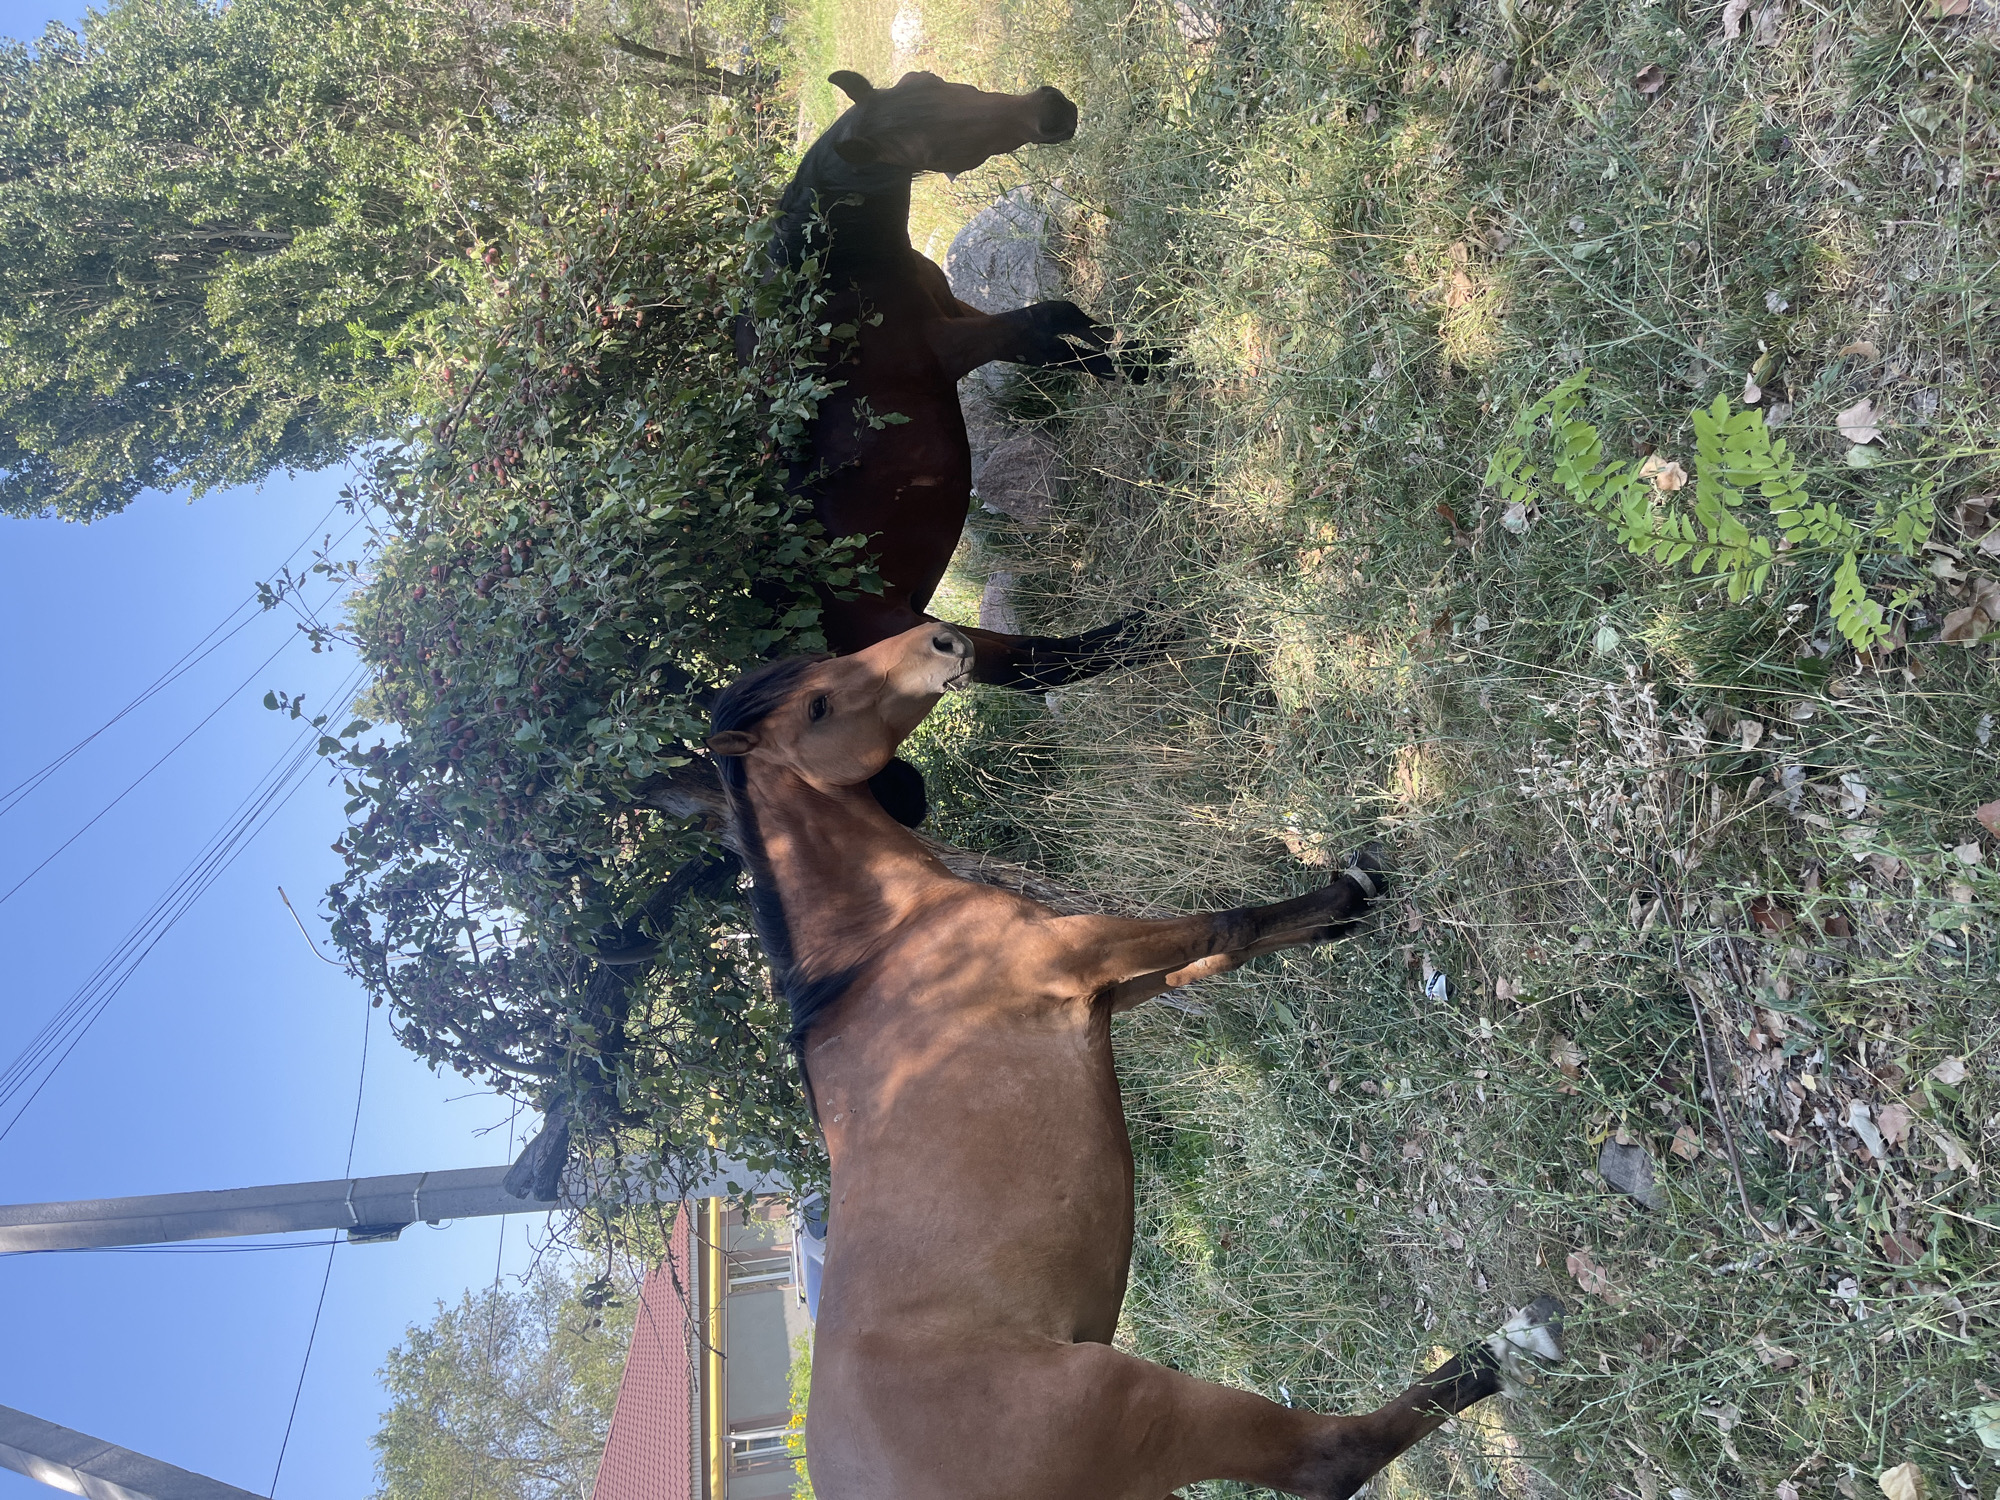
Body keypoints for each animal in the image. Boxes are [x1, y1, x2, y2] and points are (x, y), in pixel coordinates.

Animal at [704, 623, 1564, 1500]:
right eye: (816, 706)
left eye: (817, 665)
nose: (941, 640)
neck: (885, 945)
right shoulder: (1088, 954)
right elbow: (1225, 924)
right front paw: (1350, 895)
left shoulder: (1114, 991)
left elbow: (1218, 955)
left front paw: (1339, 906)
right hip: (1141, 1399)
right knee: (1330, 1459)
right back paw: (1510, 1348)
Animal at [769, 70, 1158, 690]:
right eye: (929, 150)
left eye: (928, 80)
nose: (1051, 109)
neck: (842, 273)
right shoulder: (955, 344)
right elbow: (1047, 322)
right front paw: (1161, 364)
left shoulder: (957, 309)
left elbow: (1059, 335)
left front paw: (1147, 358)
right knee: (1035, 666)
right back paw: (1154, 633)